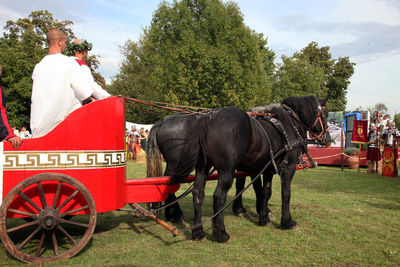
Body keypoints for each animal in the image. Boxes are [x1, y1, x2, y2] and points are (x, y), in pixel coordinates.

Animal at [170, 96, 330, 243]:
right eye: (325, 114)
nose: (328, 139)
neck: (289, 125)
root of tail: (208, 118)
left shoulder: (268, 169)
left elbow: (265, 193)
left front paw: (264, 218)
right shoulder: (288, 168)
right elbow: (286, 194)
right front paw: (288, 222)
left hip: (203, 168)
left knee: (198, 195)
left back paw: (198, 232)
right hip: (227, 171)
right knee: (219, 196)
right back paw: (221, 234)